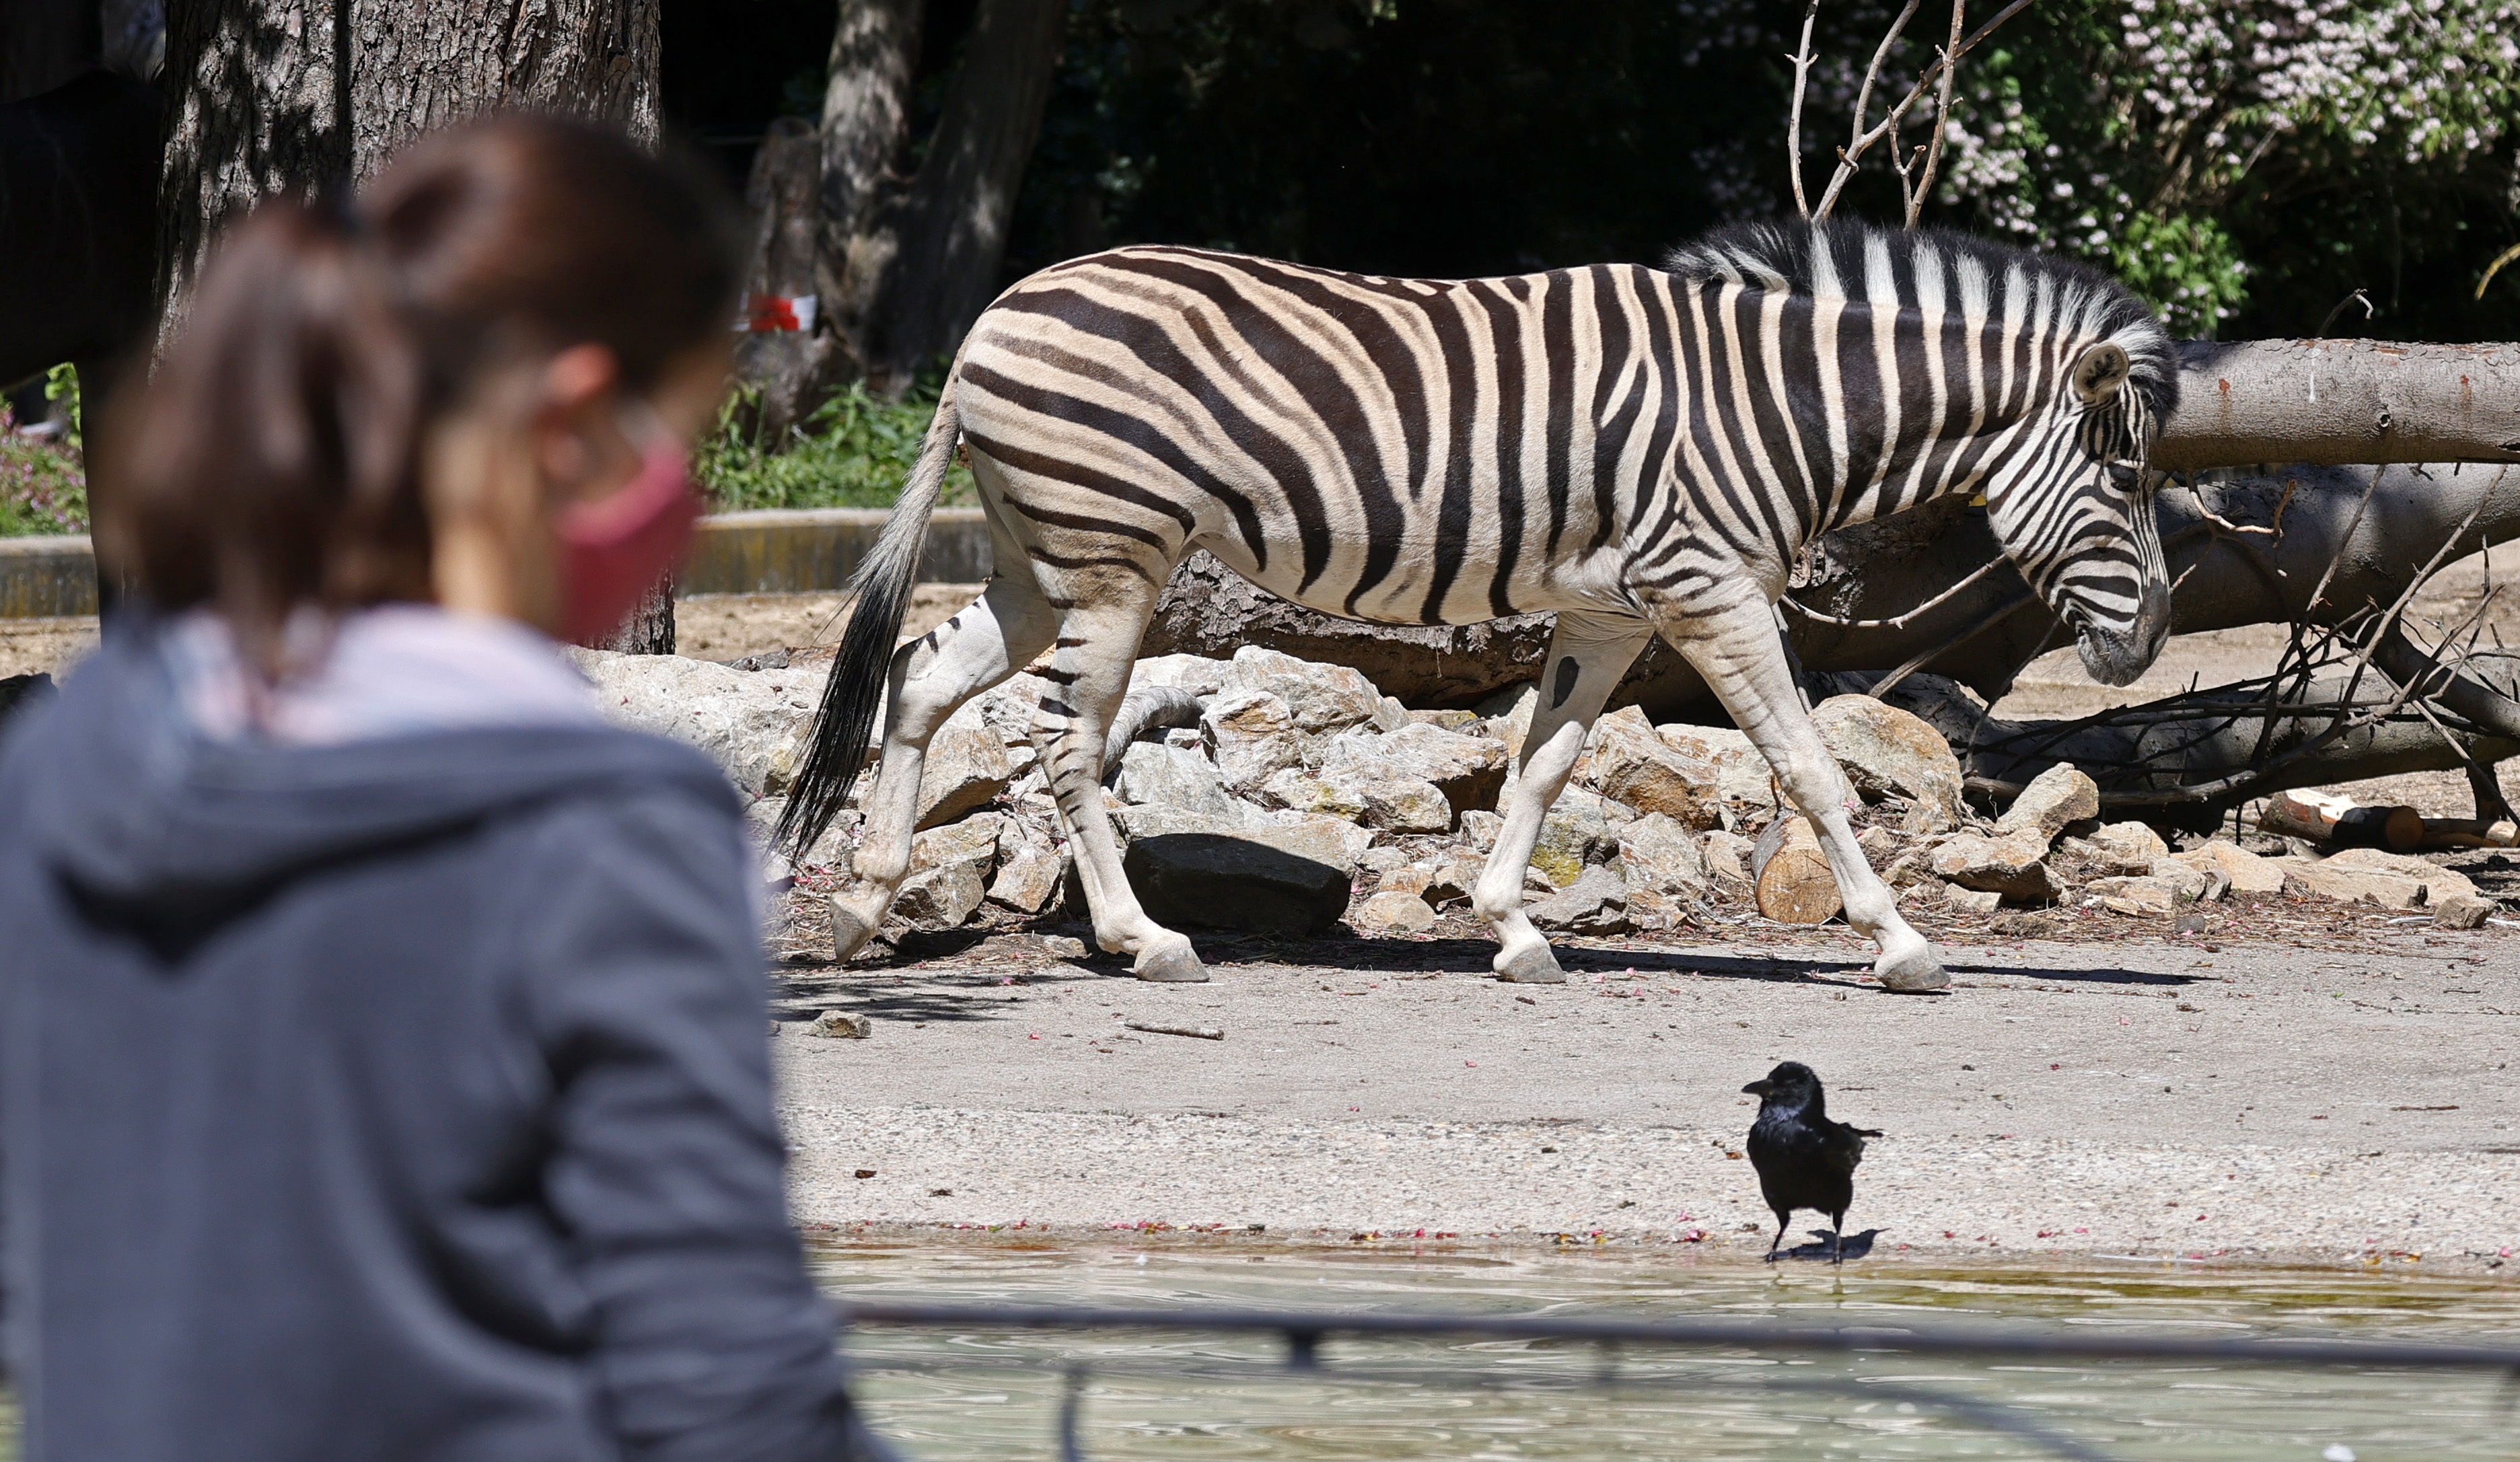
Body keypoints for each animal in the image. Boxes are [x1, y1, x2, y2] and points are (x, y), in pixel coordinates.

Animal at [776, 214, 2177, 993]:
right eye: (2127, 477)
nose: (2151, 643)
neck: (1784, 404)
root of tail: (990, 320)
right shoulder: (1710, 588)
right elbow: (1809, 767)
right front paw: (1900, 945)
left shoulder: (1617, 608)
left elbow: (1544, 763)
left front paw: (1512, 929)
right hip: (1116, 558)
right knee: (1067, 743)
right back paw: (1144, 939)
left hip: (1039, 559)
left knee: (920, 676)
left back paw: (865, 905)